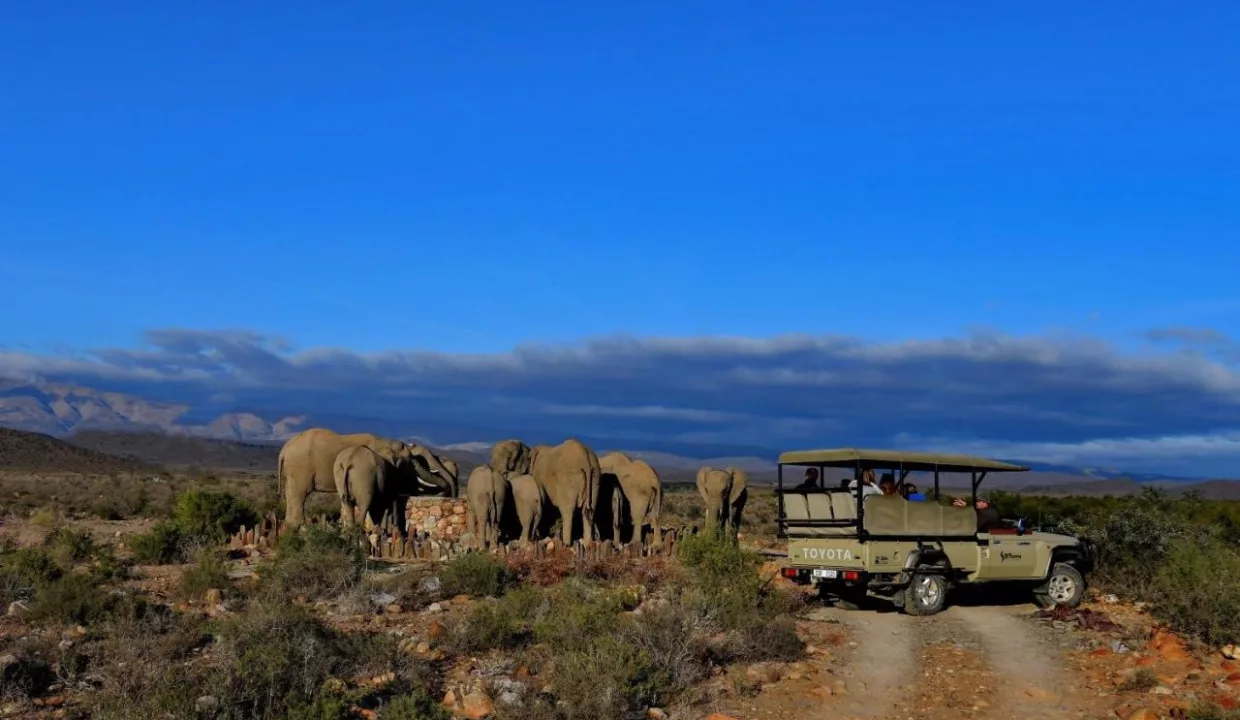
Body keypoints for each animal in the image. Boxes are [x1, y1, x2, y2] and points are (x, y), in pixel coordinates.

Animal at [276, 426, 431, 522]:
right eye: (408, 460)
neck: (384, 441)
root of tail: (285, 449)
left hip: (291, 472)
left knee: (291, 499)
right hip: (299, 468)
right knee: (298, 498)